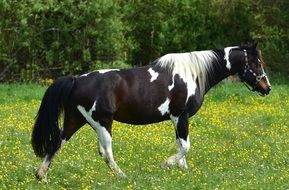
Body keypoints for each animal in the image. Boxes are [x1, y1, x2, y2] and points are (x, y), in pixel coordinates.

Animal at [31, 43, 270, 180]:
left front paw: (184, 171)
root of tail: (77, 80)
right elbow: (185, 146)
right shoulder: (180, 116)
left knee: (56, 144)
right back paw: (123, 176)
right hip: (102, 123)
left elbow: (181, 146)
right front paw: (168, 164)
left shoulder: (176, 120)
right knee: (106, 151)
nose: (267, 87)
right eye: (257, 62)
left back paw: (41, 176)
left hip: (76, 120)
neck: (192, 74)